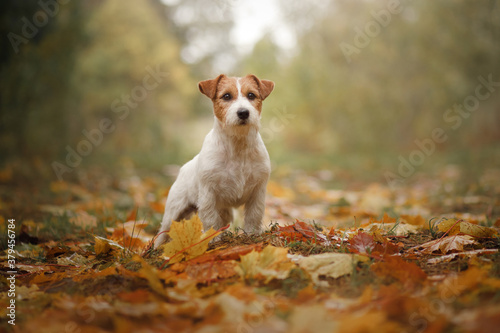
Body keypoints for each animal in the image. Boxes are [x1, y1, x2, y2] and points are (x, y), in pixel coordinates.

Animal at [154, 74, 276, 248]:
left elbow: (254, 215)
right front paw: (212, 240)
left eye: (251, 95)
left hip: (224, 210)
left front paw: (252, 235)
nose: (243, 113)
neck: (237, 145)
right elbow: (210, 219)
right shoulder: (208, 193)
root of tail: (183, 168)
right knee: (162, 232)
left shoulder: (257, 191)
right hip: (173, 212)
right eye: (226, 96)